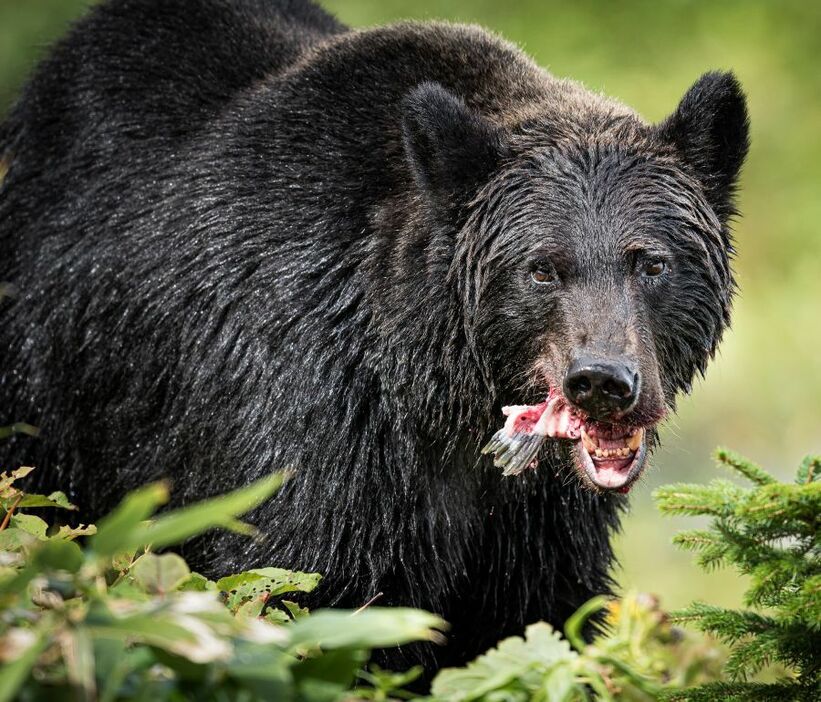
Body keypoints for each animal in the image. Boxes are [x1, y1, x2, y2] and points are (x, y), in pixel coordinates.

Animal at [0, 0, 748, 672]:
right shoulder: (314, 431)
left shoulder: (535, 524)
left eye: (650, 262)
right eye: (541, 268)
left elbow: (535, 620)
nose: (602, 381)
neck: (438, 389)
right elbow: (306, 589)